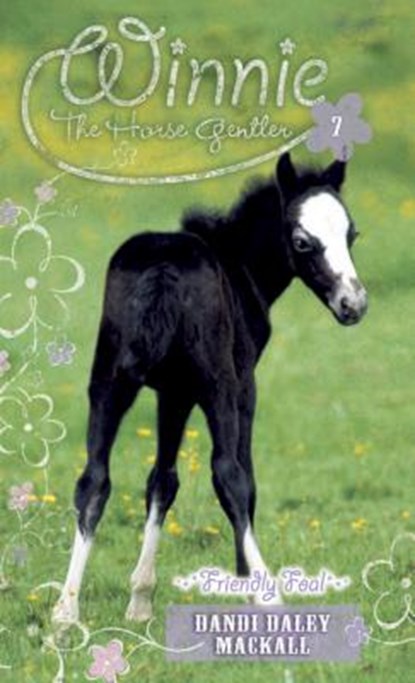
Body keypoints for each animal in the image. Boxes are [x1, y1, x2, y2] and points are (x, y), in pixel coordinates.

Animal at [52, 152, 367, 625]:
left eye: (351, 234)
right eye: (301, 241)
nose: (353, 305)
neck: (239, 267)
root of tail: (163, 268)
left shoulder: (172, 392)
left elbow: (161, 480)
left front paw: (140, 599)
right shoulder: (243, 385)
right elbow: (243, 479)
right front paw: (246, 588)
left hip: (107, 381)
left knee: (93, 479)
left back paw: (65, 611)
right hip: (217, 382)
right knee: (228, 474)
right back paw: (269, 595)